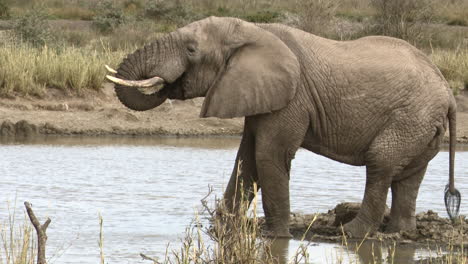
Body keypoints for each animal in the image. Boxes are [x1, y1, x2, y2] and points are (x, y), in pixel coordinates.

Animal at [105, 17, 458, 239]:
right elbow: (246, 158)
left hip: (411, 117)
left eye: (191, 49)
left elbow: (268, 155)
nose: (168, 83)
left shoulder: (292, 97)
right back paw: (399, 233)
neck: (253, 30)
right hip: (421, 124)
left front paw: (275, 236)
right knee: (408, 177)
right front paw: (221, 229)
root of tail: (449, 92)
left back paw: (350, 233)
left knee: (381, 163)